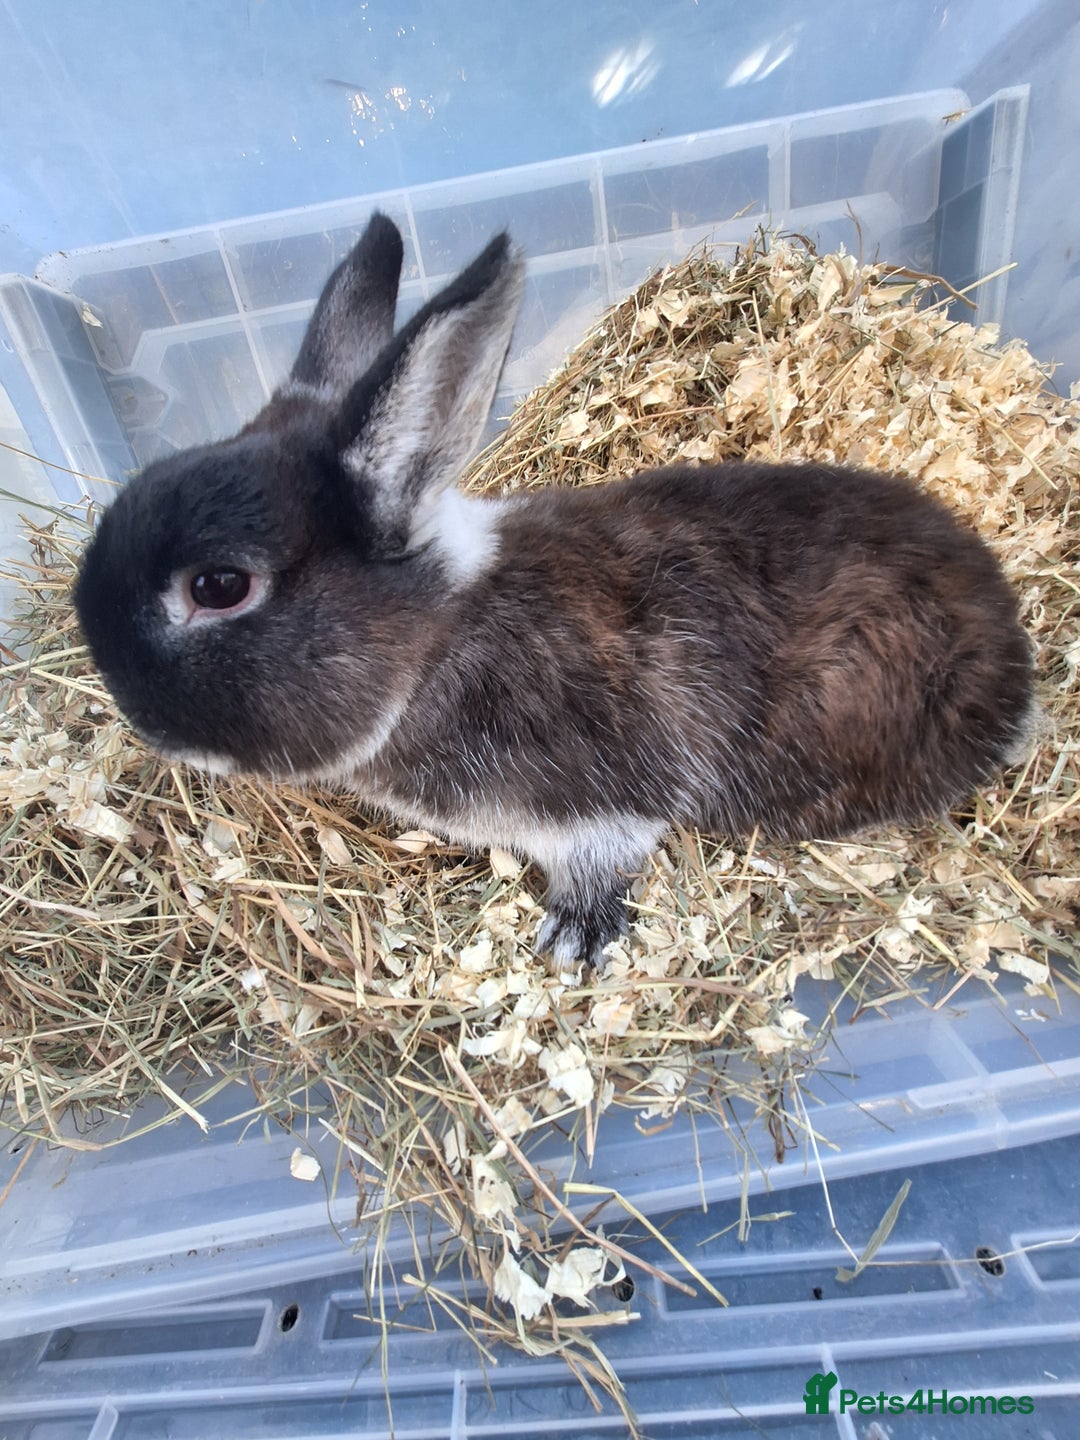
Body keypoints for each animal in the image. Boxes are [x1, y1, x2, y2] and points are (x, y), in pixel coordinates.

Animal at [75, 212, 1036, 968]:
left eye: (220, 586)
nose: (130, 709)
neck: (434, 643)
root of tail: (1013, 647)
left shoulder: (602, 799)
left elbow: (602, 858)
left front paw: (574, 941)